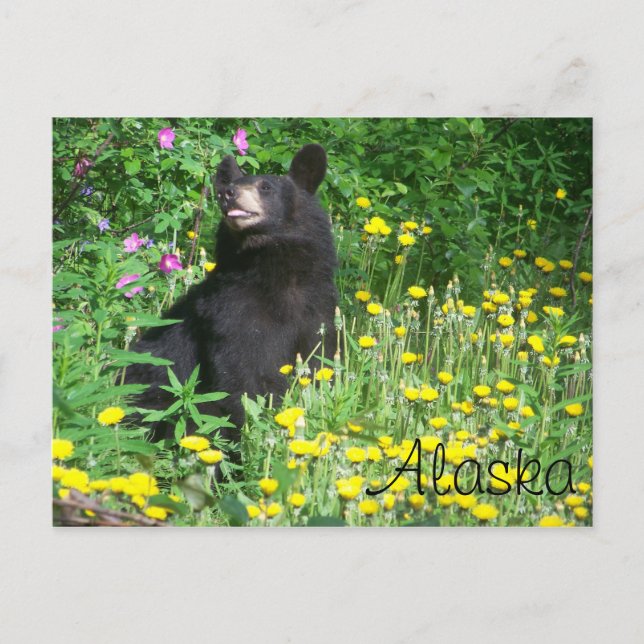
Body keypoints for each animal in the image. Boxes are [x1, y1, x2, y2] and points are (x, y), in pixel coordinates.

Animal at [125, 144, 338, 457]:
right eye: (232, 184)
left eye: (266, 186)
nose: (227, 193)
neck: (271, 269)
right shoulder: (231, 312)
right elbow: (243, 375)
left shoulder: (316, 308)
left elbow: (320, 360)